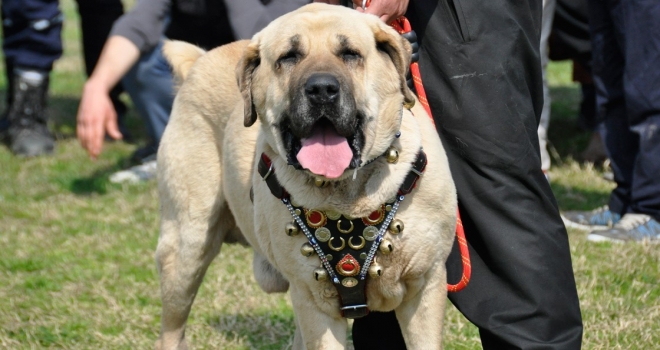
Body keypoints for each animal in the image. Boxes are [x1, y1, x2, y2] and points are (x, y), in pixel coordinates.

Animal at [157, 3, 456, 350]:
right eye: (289, 57)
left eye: (350, 53)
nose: (322, 89)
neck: (348, 194)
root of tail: (198, 60)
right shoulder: (314, 301)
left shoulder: (426, 286)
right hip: (185, 248)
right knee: (171, 328)